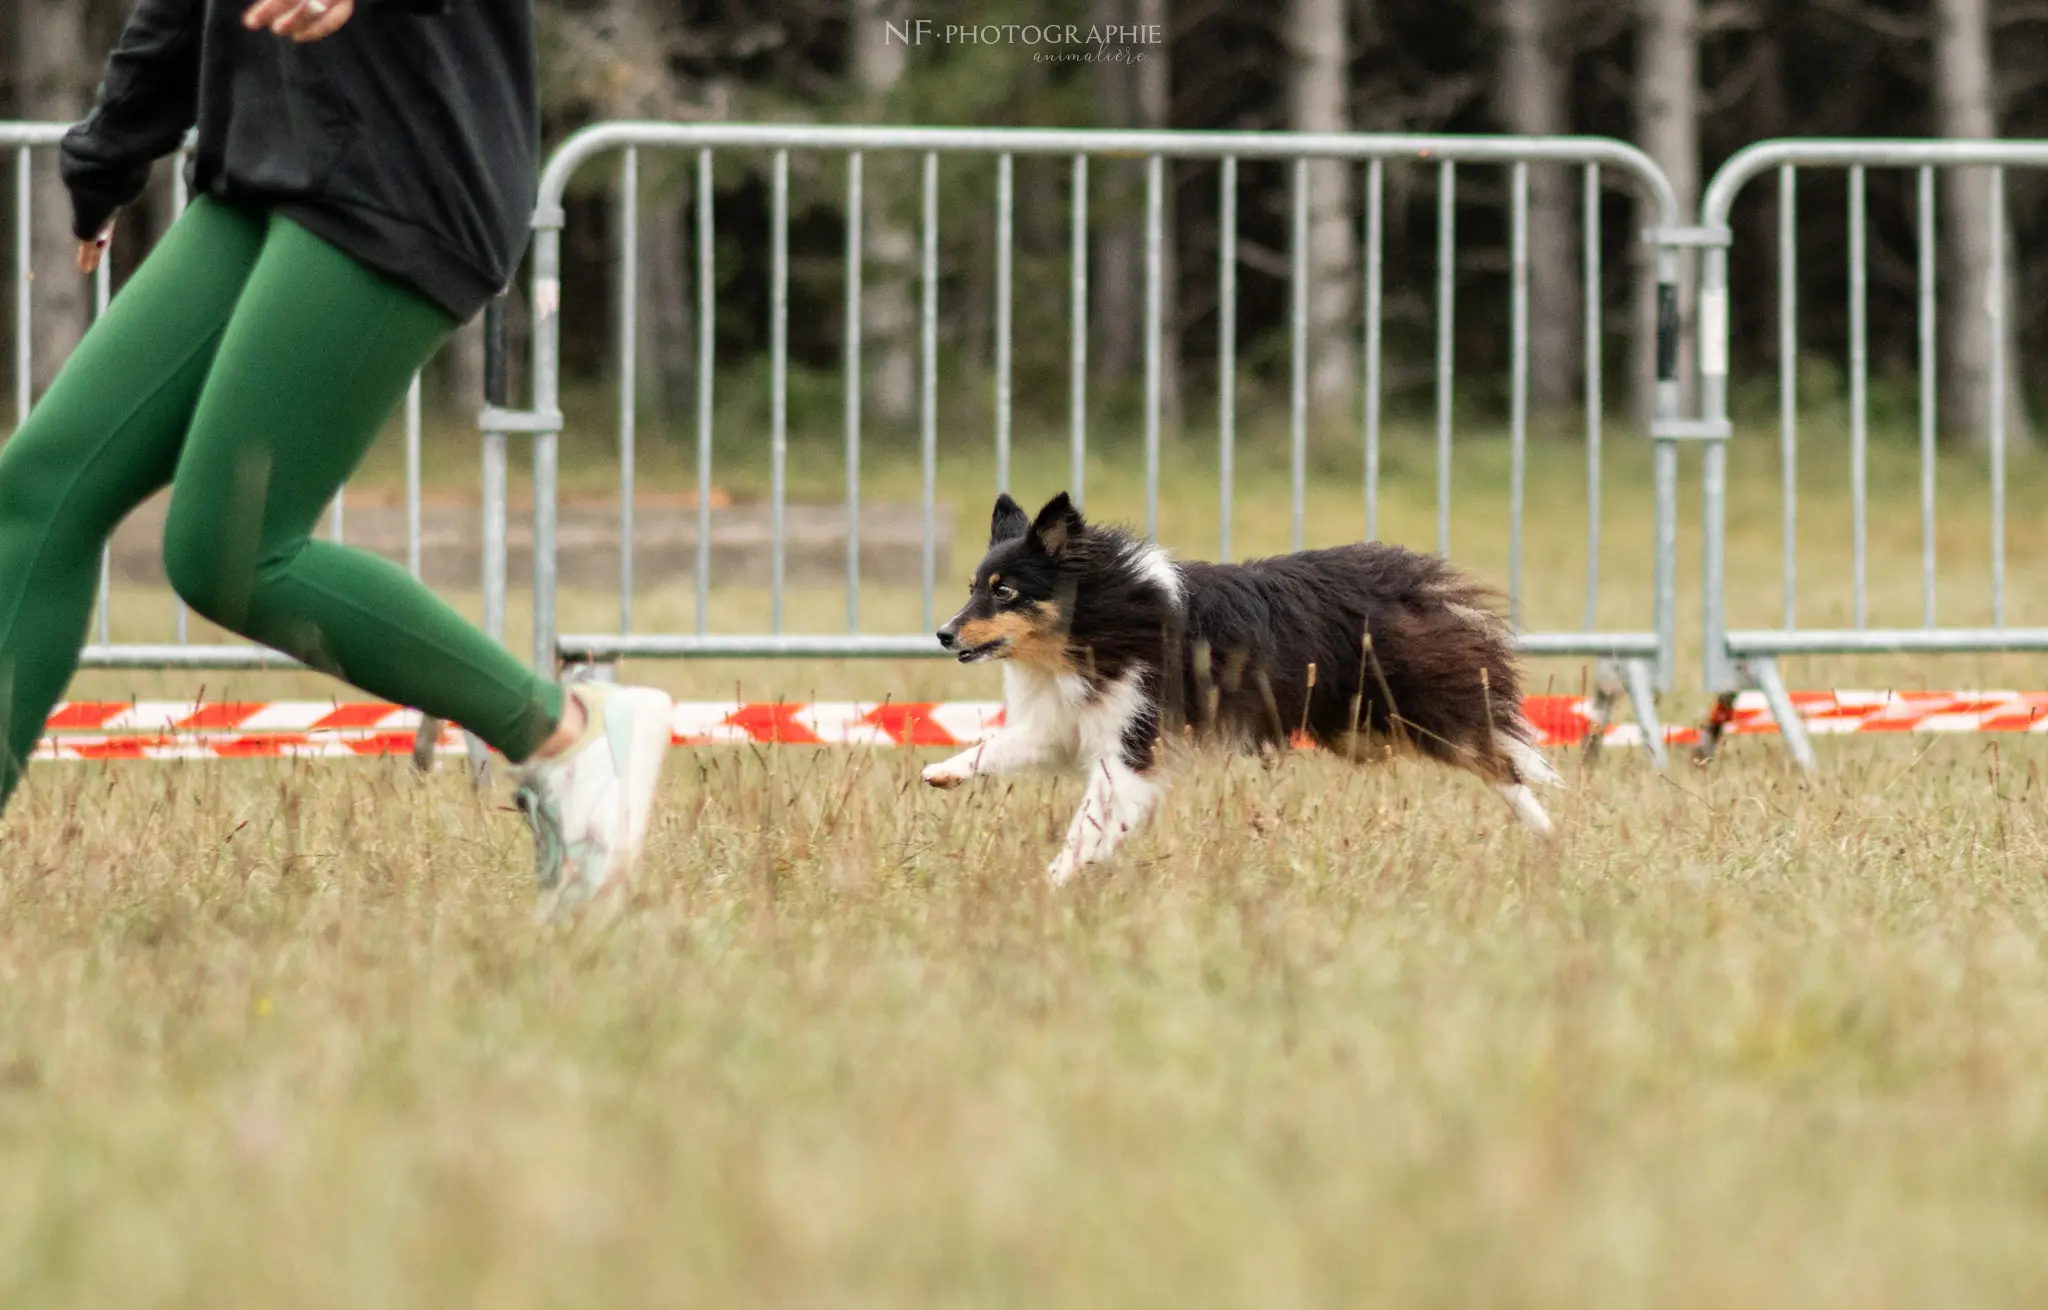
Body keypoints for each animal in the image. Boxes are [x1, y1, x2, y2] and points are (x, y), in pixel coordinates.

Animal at [921, 495, 1556, 884]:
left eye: (1005, 591)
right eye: (974, 586)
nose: (943, 633)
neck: (1096, 617)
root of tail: (1419, 582)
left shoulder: (1134, 741)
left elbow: (1092, 821)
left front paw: (1056, 879)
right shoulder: (1065, 725)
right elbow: (998, 745)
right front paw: (943, 772)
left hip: (1413, 707)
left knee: (1502, 759)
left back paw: (1549, 834)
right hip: (1361, 728)